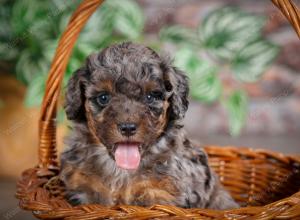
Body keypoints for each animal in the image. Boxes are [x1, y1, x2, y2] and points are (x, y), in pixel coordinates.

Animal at [60, 42, 239, 209]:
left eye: (150, 97)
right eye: (103, 97)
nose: (127, 127)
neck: (121, 171)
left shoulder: (161, 194)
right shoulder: (83, 189)